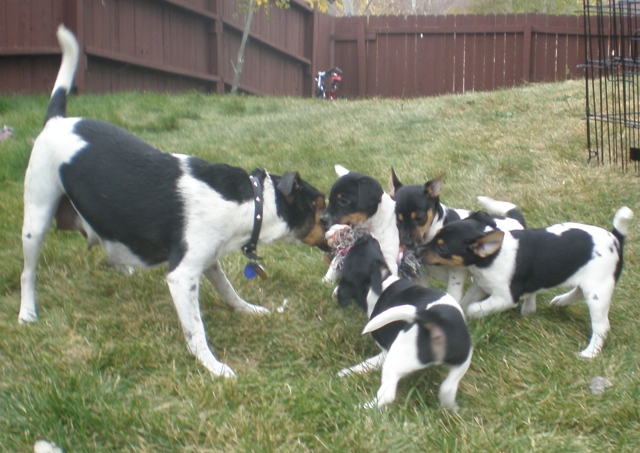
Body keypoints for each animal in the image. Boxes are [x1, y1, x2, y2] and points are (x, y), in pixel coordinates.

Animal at [18, 25, 330, 378]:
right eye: (322, 210)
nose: (338, 233)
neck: (253, 202)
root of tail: (57, 120)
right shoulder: (182, 276)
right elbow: (196, 330)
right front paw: (213, 366)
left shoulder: (208, 260)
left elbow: (229, 291)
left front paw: (248, 310)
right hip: (37, 217)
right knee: (28, 273)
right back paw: (27, 313)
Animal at [390, 170, 524, 304]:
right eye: (396, 220)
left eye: (420, 218)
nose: (407, 244)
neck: (434, 228)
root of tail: (517, 221)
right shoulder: (424, 273)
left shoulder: (457, 273)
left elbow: (453, 294)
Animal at [420, 207, 636, 358]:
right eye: (436, 236)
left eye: (441, 248)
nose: (418, 250)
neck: (493, 255)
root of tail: (616, 239)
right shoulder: (480, 285)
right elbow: (465, 301)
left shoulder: (505, 297)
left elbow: (476, 307)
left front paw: (470, 314)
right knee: (578, 290)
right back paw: (562, 301)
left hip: (598, 290)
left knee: (601, 326)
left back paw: (590, 353)